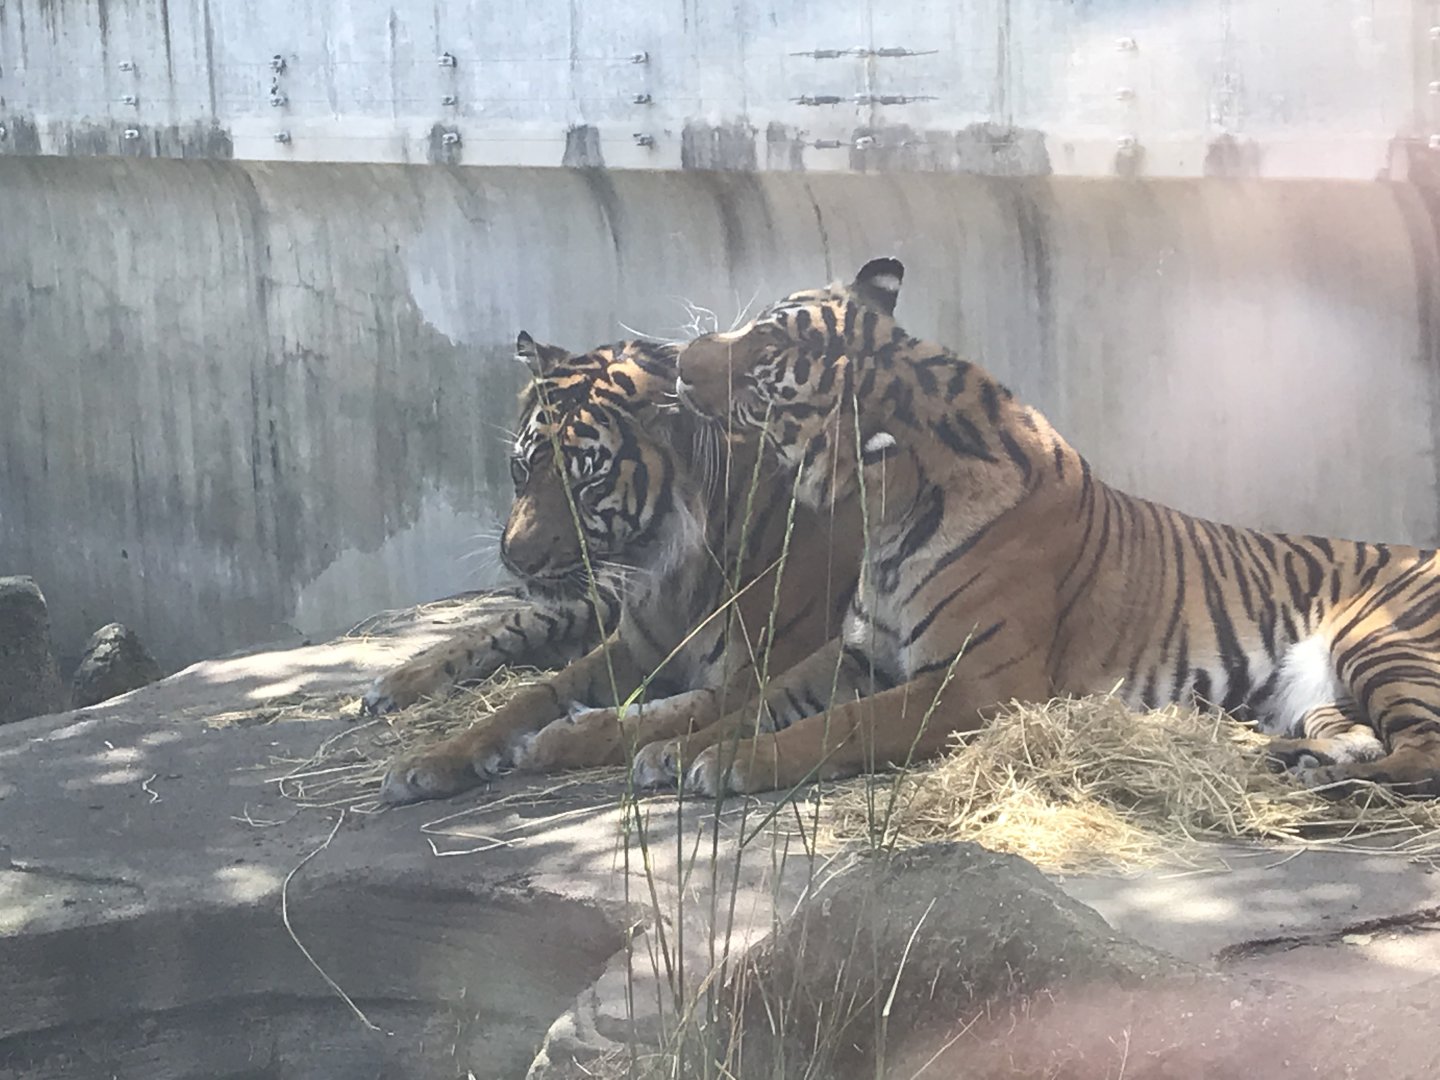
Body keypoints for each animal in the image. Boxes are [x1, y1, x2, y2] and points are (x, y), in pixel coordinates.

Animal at [374, 331, 863, 805]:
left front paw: (555, 739)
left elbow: (674, 712)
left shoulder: (767, 667)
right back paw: (395, 682)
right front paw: (429, 759)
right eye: (521, 468)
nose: (515, 557)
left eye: (588, 483)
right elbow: (532, 697)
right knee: (513, 623)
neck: (673, 579)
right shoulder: (631, 647)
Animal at [644, 256, 1440, 800]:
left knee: (1425, 757)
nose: (678, 361)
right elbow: (758, 700)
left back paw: (1319, 780)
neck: (888, 520)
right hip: (1319, 697)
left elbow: (840, 725)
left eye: (762, 368)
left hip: (1384, 640)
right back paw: (1289, 759)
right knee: (1361, 739)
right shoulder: (858, 655)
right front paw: (674, 749)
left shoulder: (973, 684)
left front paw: (727, 763)